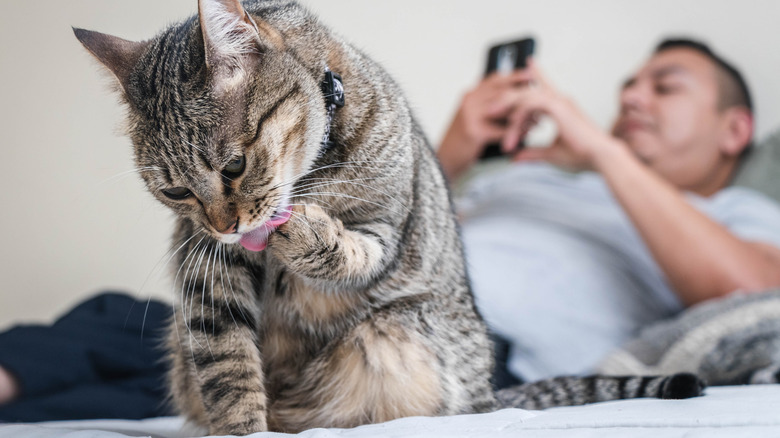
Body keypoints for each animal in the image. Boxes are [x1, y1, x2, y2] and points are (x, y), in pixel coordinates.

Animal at [74, 0, 700, 434]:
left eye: (233, 166)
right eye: (176, 191)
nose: (226, 227)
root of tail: (491, 396)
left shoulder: (384, 228)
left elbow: (348, 250)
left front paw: (306, 231)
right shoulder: (207, 273)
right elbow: (228, 371)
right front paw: (243, 427)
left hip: (393, 338)